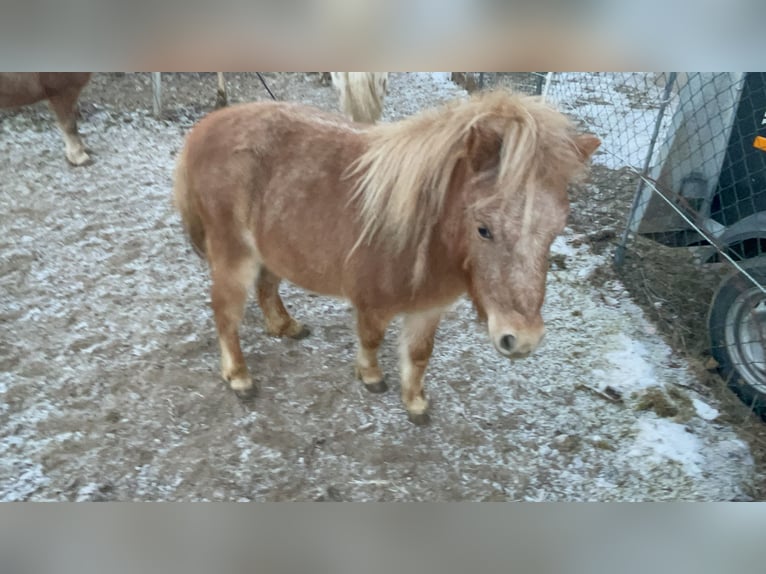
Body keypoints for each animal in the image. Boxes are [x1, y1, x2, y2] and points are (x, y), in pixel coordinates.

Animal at [172, 90, 601, 424]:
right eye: (484, 228)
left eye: (556, 231)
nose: (522, 340)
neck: (426, 230)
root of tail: (205, 127)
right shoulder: (372, 303)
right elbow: (372, 338)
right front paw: (371, 377)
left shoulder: (429, 309)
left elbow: (419, 354)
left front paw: (416, 403)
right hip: (234, 256)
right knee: (225, 312)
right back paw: (239, 376)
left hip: (269, 249)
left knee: (267, 286)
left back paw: (285, 326)